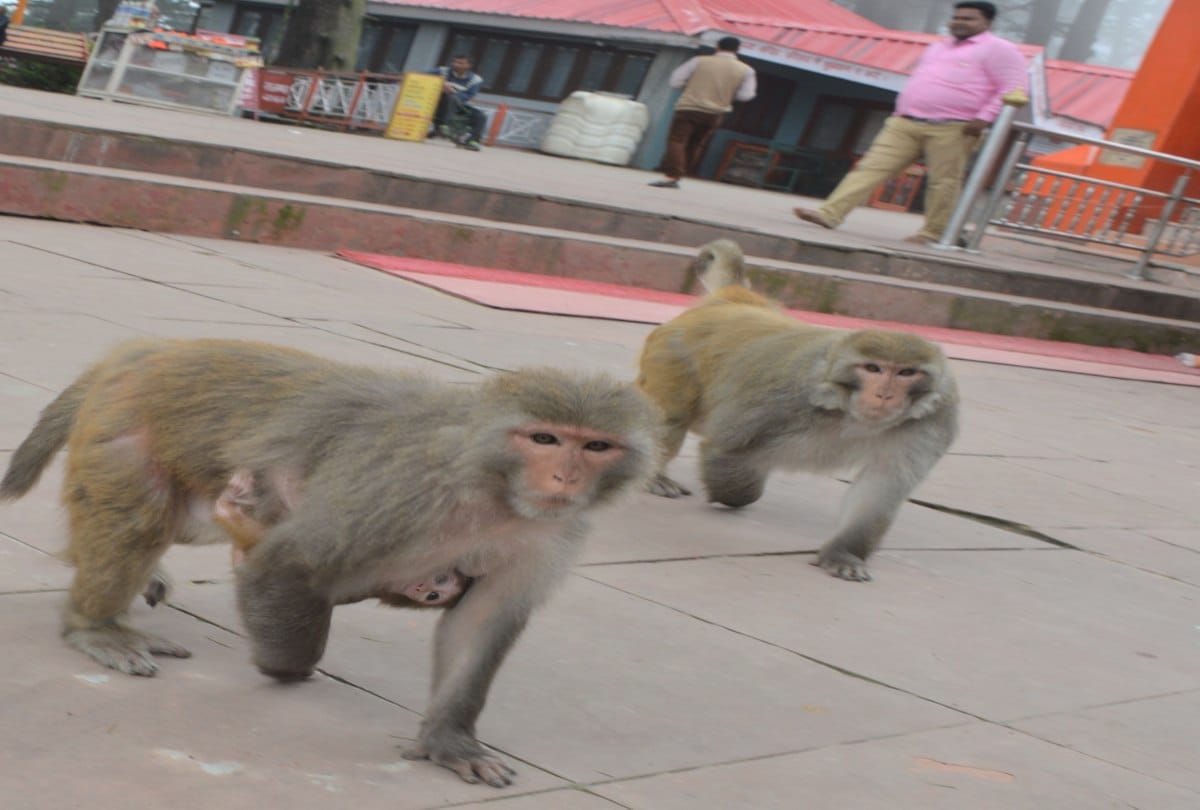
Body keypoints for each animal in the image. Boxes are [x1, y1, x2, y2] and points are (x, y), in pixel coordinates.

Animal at [636, 239, 959, 582]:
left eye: (906, 373)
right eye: (873, 368)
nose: (884, 394)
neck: (849, 410)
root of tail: (734, 300)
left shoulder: (936, 419)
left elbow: (882, 487)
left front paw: (842, 554)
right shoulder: (784, 398)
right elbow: (725, 448)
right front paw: (730, 493)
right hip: (672, 352)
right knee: (671, 417)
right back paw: (654, 474)